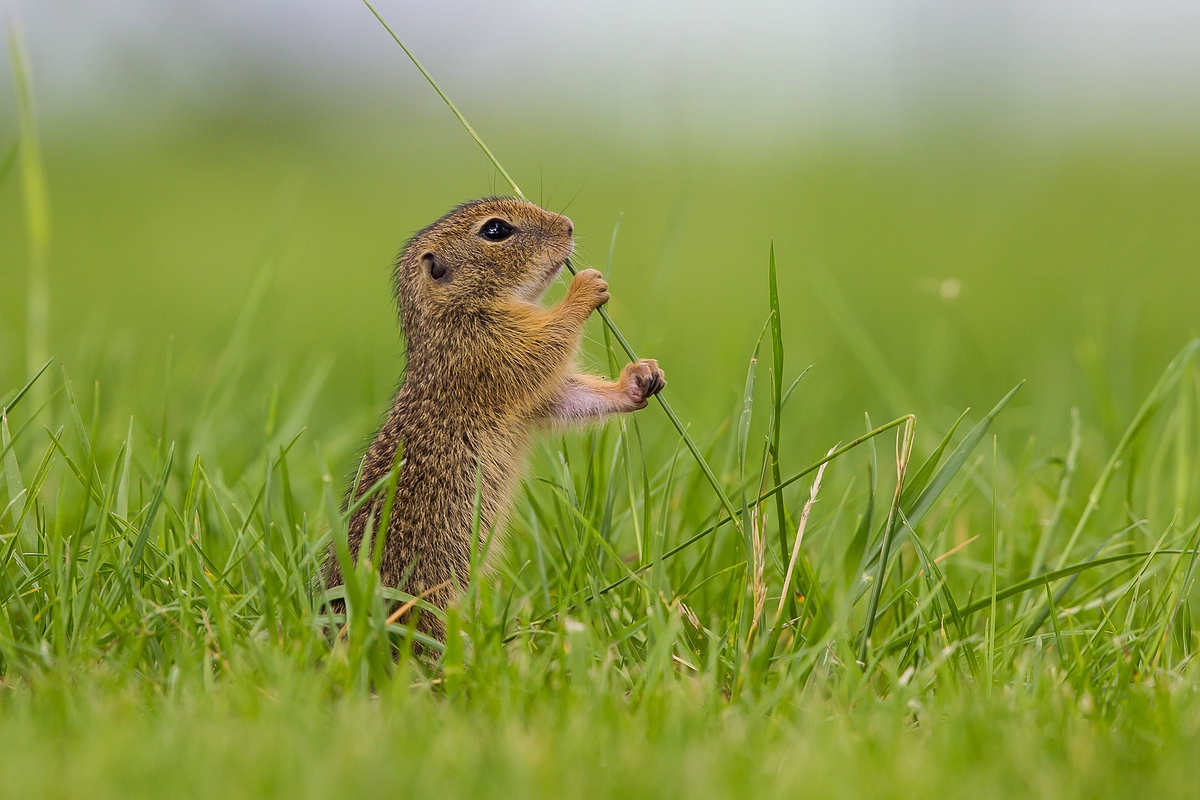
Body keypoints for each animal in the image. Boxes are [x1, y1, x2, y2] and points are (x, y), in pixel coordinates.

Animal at [324, 199, 667, 638]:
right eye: (495, 231)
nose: (568, 226)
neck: (453, 311)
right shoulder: (489, 345)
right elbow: (545, 346)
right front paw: (586, 288)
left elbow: (562, 396)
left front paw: (640, 379)